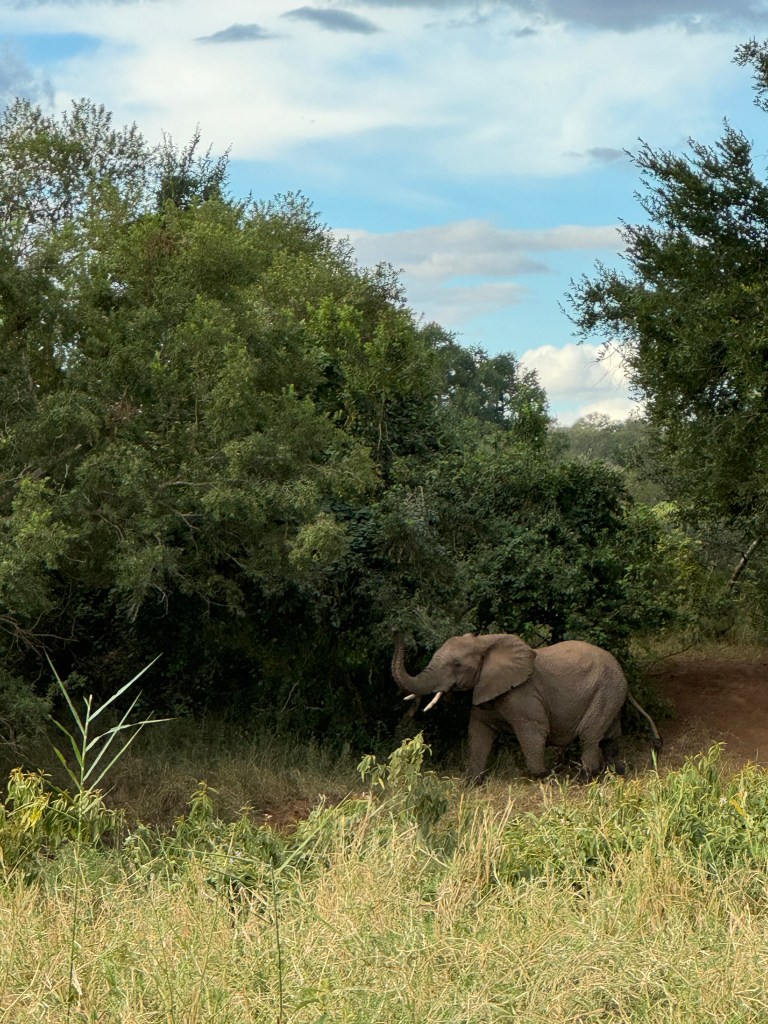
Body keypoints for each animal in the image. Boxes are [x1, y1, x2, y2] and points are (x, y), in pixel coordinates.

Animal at [391, 632, 661, 782]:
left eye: (456, 665)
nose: (398, 631)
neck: (485, 641)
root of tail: (622, 673)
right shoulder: (485, 687)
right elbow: (478, 732)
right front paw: (471, 782)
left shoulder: (522, 695)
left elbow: (534, 731)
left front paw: (543, 776)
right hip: (610, 693)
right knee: (610, 737)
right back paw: (617, 772)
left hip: (605, 691)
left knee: (590, 736)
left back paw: (584, 779)